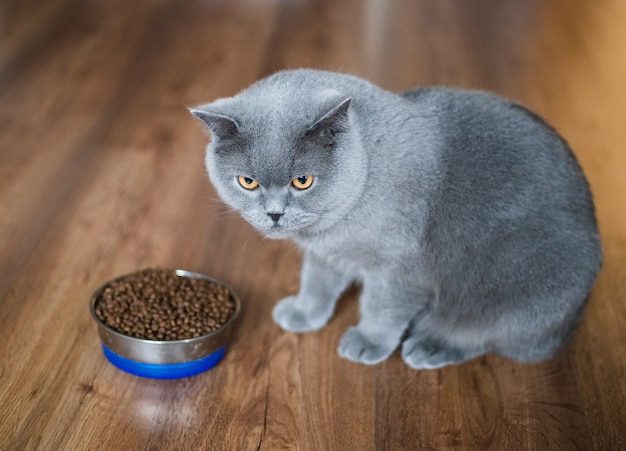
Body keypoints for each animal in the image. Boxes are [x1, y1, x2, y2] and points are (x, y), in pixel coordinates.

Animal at [189, 69, 600, 370]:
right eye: (248, 182)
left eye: (302, 181)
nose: (274, 213)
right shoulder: (327, 254)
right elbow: (317, 282)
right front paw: (305, 313)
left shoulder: (400, 267)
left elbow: (382, 307)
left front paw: (368, 342)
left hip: (513, 297)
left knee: (487, 337)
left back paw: (431, 345)